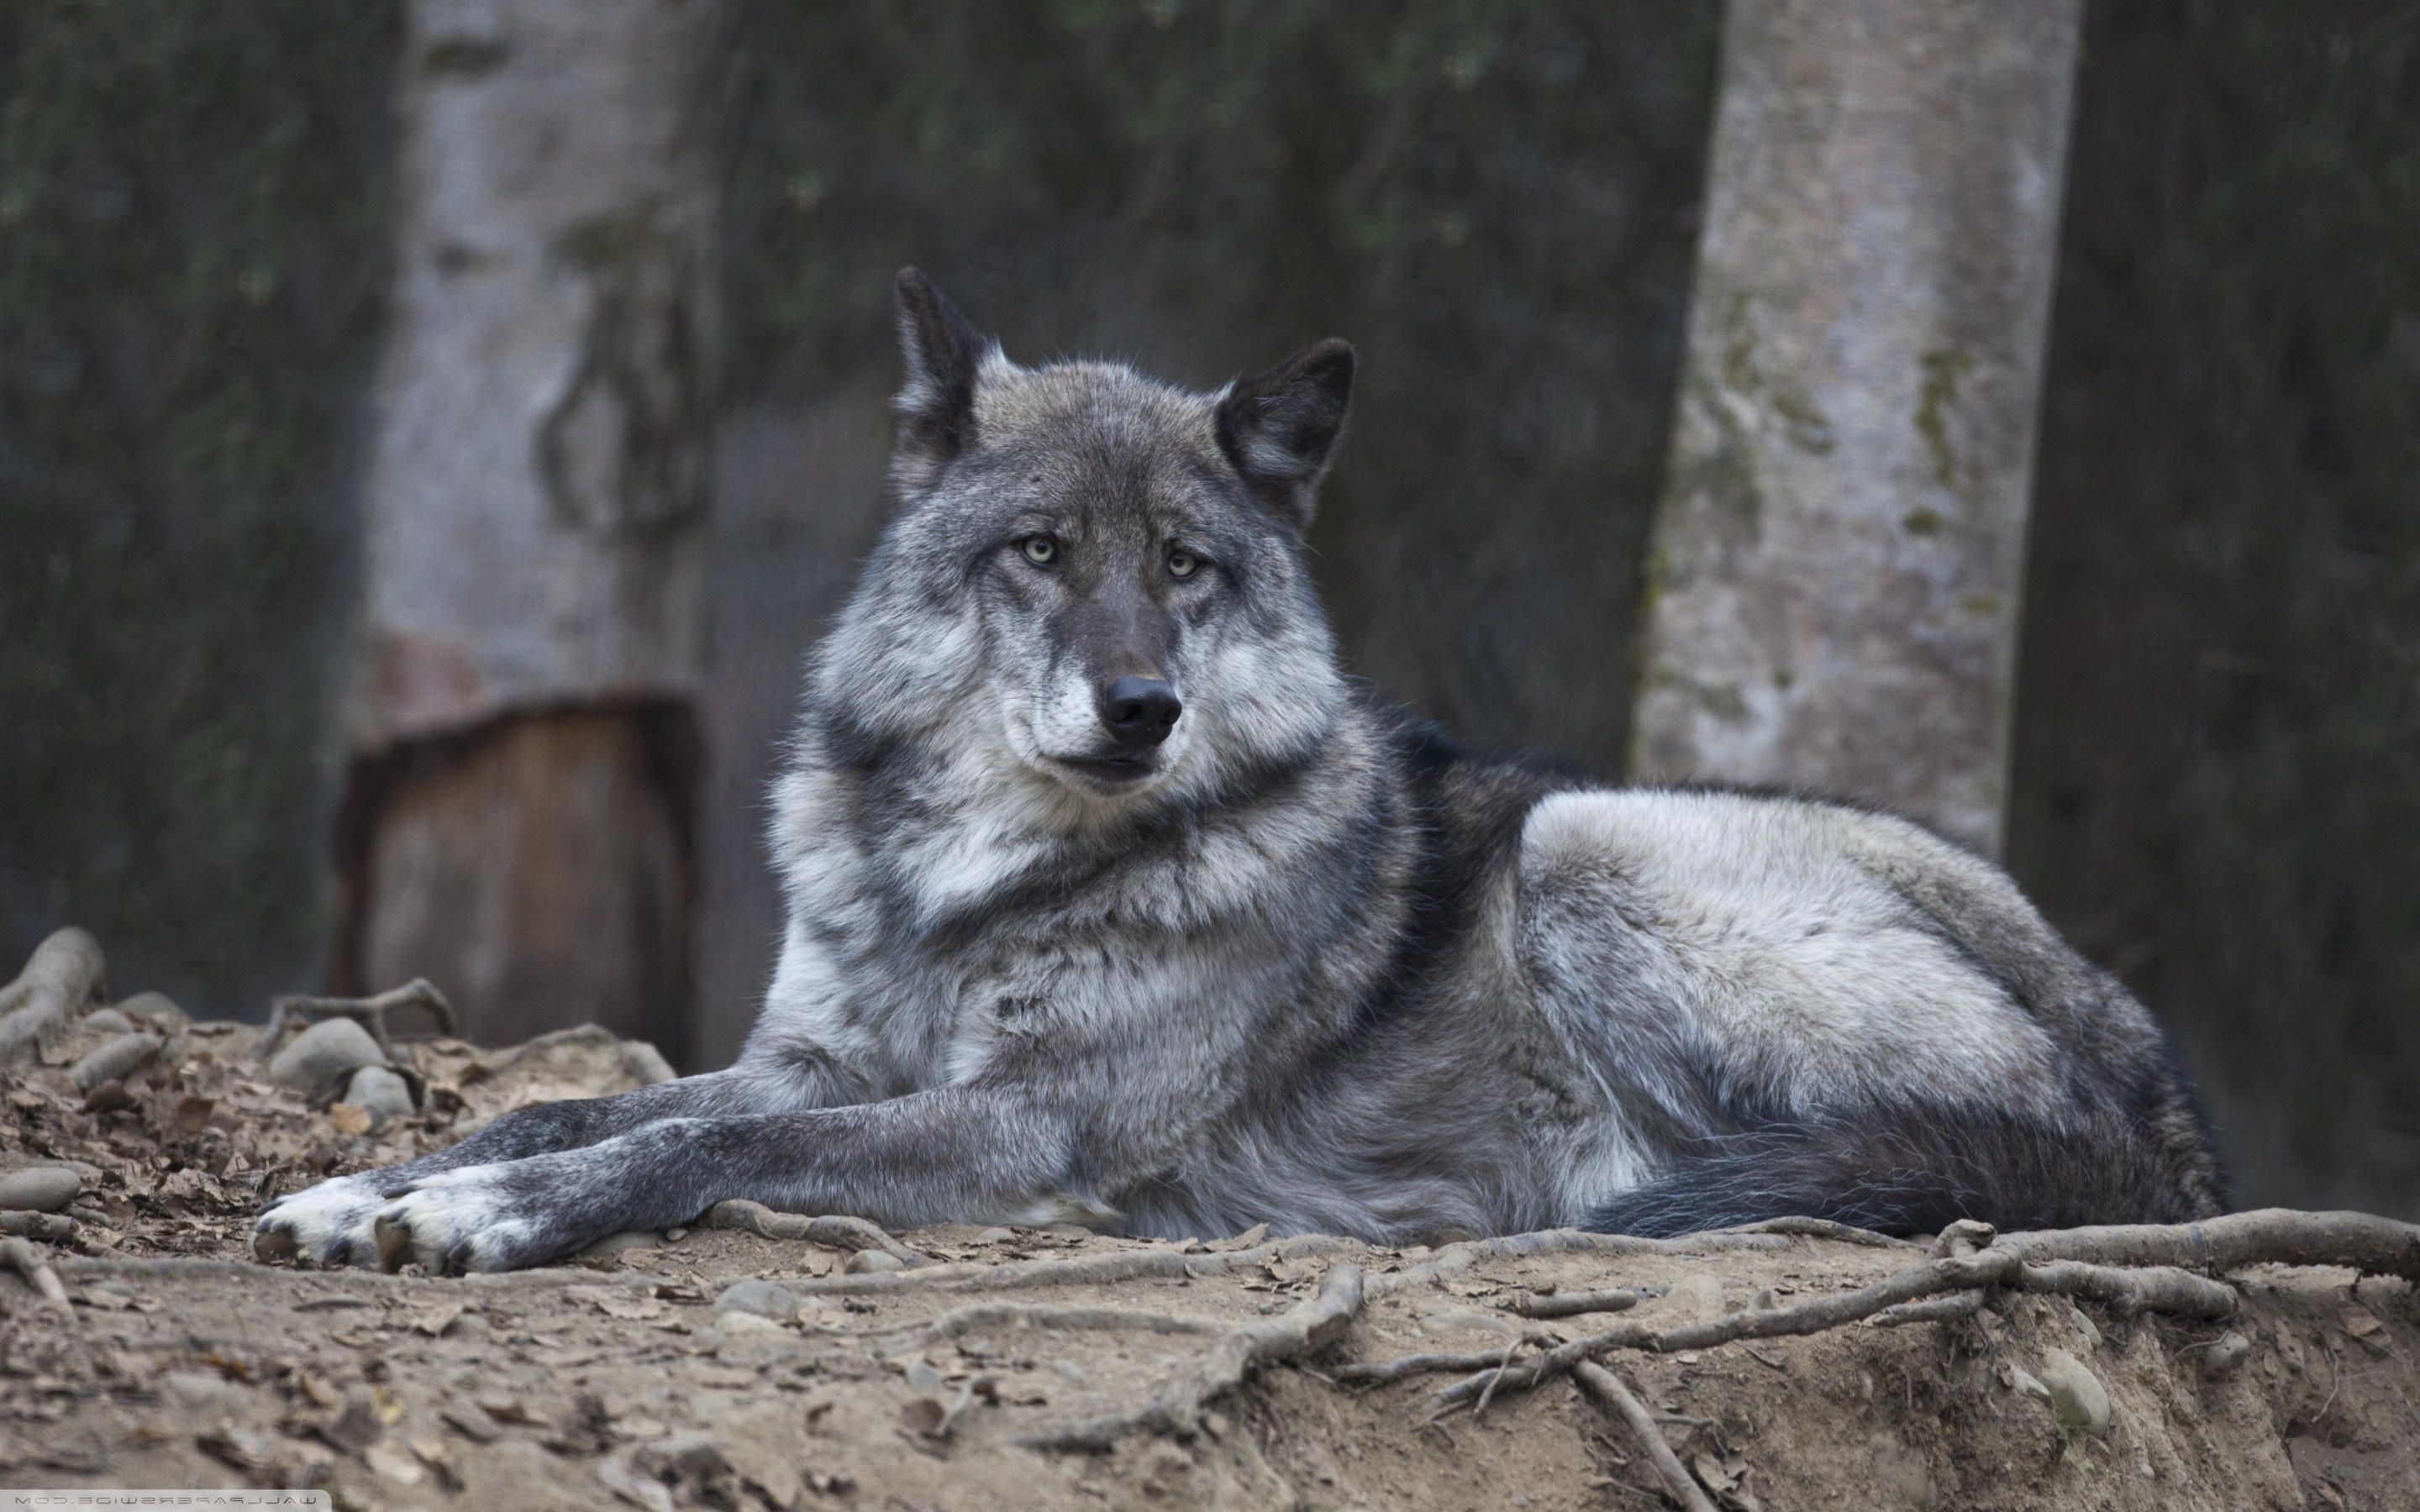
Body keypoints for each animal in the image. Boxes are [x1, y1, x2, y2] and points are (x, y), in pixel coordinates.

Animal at [256, 270, 2225, 1274]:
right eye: (1042, 552)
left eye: (1187, 566)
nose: (1141, 706)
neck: (972, 885)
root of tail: (2175, 1111)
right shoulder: (812, 1055)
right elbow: (588, 1105)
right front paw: (386, 1184)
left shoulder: (1023, 1121)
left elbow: (688, 1147)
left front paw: (484, 1215)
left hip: (1591, 841)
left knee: (1879, 1164)